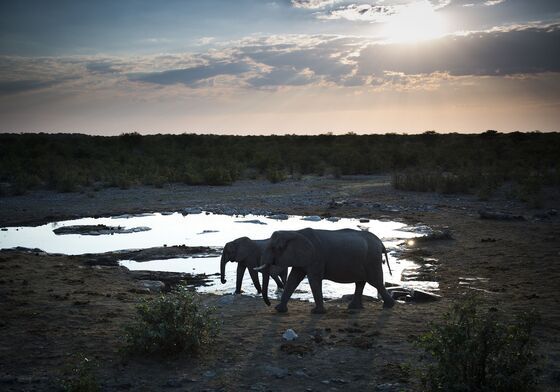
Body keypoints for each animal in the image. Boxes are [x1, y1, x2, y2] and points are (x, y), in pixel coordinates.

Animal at [256, 228, 396, 314]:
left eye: (276, 248)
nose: (269, 304)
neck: (294, 232)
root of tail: (381, 243)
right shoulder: (303, 258)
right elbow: (293, 279)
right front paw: (279, 309)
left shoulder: (316, 258)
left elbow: (314, 280)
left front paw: (316, 312)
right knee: (361, 282)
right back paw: (354, 308)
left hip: (372, 259)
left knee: (375, 281)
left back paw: (389, 305)